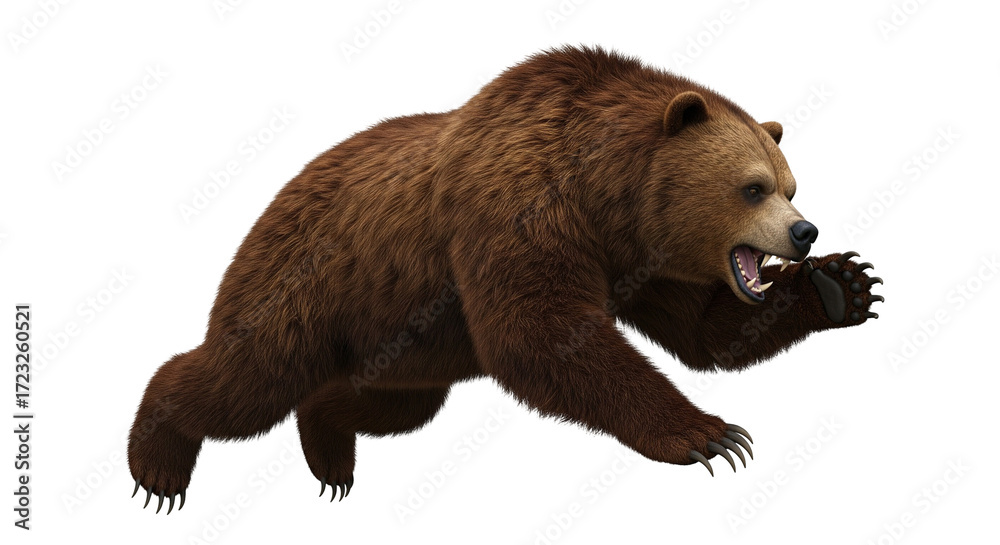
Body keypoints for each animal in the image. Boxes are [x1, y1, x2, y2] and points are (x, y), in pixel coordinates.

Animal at [128, 45, 882, 513]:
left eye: (790, 183)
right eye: (753, 187)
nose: (805, 231)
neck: (603, 195)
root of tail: (277, 196)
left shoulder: (637, 259)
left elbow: (704, 333)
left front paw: (844, 285)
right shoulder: (518, 205)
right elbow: (540, 333)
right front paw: (709, 434)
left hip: (405, 340)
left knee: (383, 402)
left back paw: (330, 451)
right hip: (307, 284)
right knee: (248, 378)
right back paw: (157, 465)